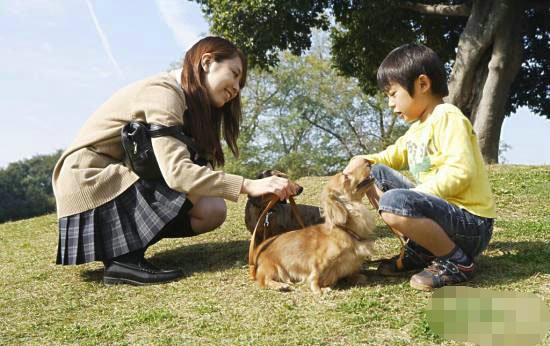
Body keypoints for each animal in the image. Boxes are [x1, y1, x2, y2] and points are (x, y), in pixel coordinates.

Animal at [249, 159, 376, 292]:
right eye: (345, 176)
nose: (367, 161)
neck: (345, 230)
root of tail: (260, 247)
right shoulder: (319, 262)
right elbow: (315, 277)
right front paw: (320, 290)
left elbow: (354, 273)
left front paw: (356, 277)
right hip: (272, 267)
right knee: (264, 280)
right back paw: (280, 285)